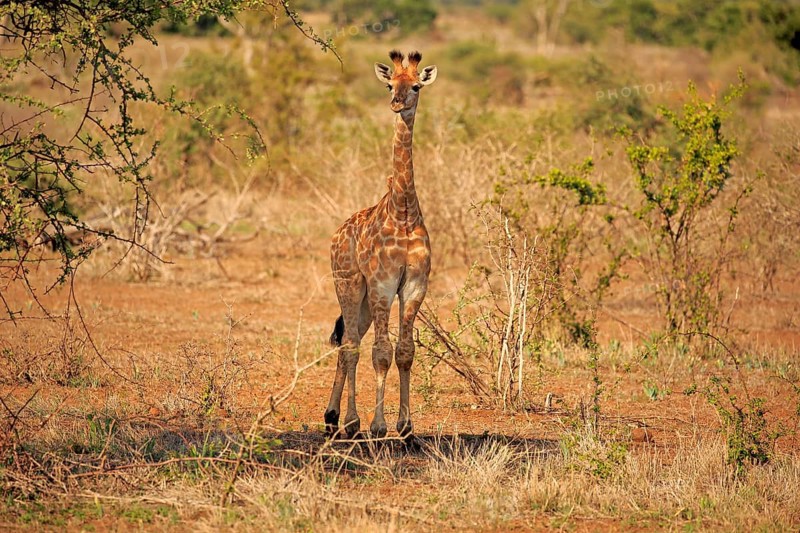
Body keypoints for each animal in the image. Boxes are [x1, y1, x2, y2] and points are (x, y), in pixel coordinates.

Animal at [324, 50, 438, 439]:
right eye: (390, 85)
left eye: (416, 85)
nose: (397, 103)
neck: (402, 212)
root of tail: (338, 233)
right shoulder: (382, 285)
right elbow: (381, 353)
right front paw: (378, 425)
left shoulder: (415, 285)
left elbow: (404, 351)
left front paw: (405, 427)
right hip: (349, 284)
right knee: (351, 345)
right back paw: (350, 422)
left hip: (361, 298)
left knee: (350, 339)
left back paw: (332, 418)